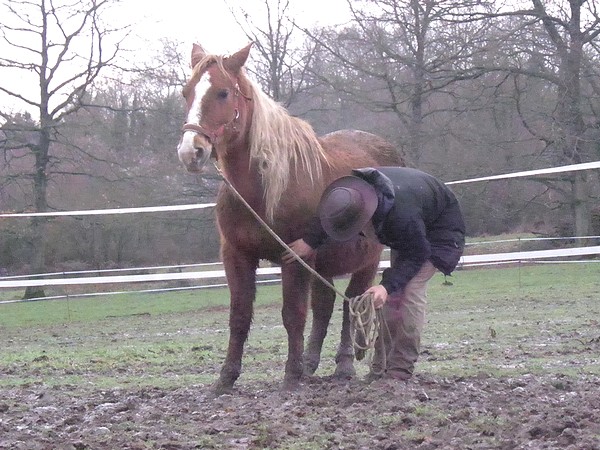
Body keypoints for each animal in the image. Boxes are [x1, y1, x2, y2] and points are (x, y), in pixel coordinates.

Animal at [176, 43, 406, 394]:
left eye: (223, 92)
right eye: (186, 92)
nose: (191, 151)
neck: (264, 187)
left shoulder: (294, 256)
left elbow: (293, 314)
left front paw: (292, 375)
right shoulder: (236, 256)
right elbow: (239, 315)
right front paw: (227, 377)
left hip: (367, 259)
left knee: (356, 304)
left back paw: (351, 366)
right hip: (326, 264)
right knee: (328, 305)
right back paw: (315, 363)